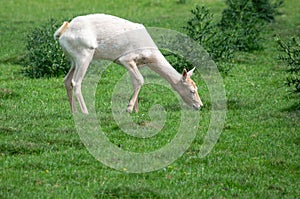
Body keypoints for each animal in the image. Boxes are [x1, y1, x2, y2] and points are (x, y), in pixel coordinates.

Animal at [54, 13, 204, 113]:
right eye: (192, 90)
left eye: (197, 88)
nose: (200, 105)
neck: (150, 55)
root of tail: (62, 32)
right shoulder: (125, 59)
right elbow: (140, 79)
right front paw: (129, 108)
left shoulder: (136, 63)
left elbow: (135, 82)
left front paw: (136, 110)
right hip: (84, 56)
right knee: (76, 82)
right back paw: (85, 112)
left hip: (73, 60)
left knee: (66, 80)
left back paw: (74, 111)